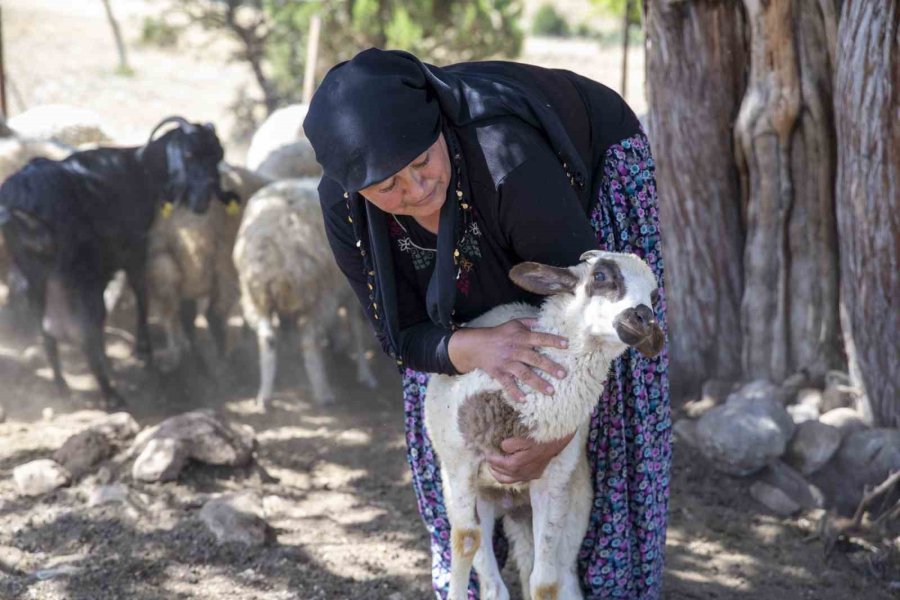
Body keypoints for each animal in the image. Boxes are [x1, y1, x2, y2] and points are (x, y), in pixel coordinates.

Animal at [0, 116, 232, 408]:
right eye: (188, 155)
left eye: (218, 154)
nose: (204, 198)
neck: (141, 169)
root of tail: (21, 203)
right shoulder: (135, 250)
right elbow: (141, 294)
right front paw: (142, 350)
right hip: (74, 273)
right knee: (79, 328)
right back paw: (111, 396)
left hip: (35, 274)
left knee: (47, 327)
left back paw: (62, 386)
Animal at [234, 178, 378, 408]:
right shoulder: (352, 291)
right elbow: (356, 330)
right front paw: (365, 374)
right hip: (317, 294)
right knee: (309, 341)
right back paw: (323, 392)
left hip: (256, 296)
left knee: (268, 339)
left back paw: (265, 393)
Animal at [422, 250, 660, 600]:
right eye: (601, 276)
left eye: (655, 297)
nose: (644, 319)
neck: (521, 413)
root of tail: (513, 504)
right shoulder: (460, 464)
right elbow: (465, 541)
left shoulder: (553, 480)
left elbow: (545, 583)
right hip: (474, 495)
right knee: (492, 583)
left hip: (573, 505)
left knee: (563, 574)